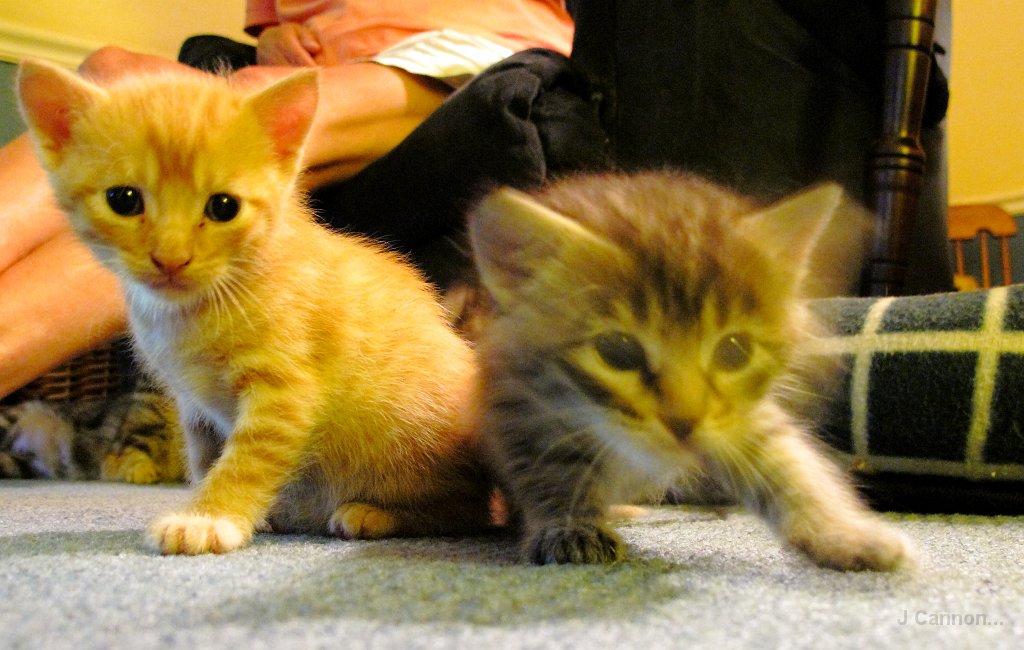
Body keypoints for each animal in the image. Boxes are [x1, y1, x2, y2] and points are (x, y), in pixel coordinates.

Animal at [467, 171, 915, 570]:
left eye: (734, 351)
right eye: (617, 351)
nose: (684, 423)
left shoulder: (738, 416)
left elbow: (789, 465)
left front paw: (841, 531)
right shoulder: (518, 410)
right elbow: (551, 472)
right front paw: (570, 526)